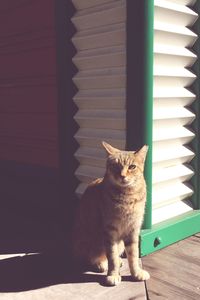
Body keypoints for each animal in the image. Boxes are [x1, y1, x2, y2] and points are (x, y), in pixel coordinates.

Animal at [72, 142, 149, 286]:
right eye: (115, 166)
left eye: (132, 167)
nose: (122, 175)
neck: (127, 196)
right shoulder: (110, 231)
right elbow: (111, 256)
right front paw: (113, 274)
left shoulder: (133, 230)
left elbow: (133, 255)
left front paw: (136, 272)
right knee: (91, 257)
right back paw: (101, 264)